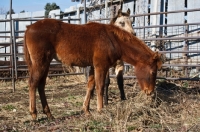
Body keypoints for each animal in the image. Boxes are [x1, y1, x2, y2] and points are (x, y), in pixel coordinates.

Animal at [23, 19, 162, 120]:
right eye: (153, 72)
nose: (150, 91)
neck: (112, 39)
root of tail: (29, 28)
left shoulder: (93, 67)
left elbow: (90, 86)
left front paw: (87, 110)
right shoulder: (101, 66)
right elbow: (100, 87)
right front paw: (100, 110)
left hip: (45, 63)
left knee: (41, 85)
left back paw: (49, 114)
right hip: (40, 63)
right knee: (33, 83)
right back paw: (33, 113)